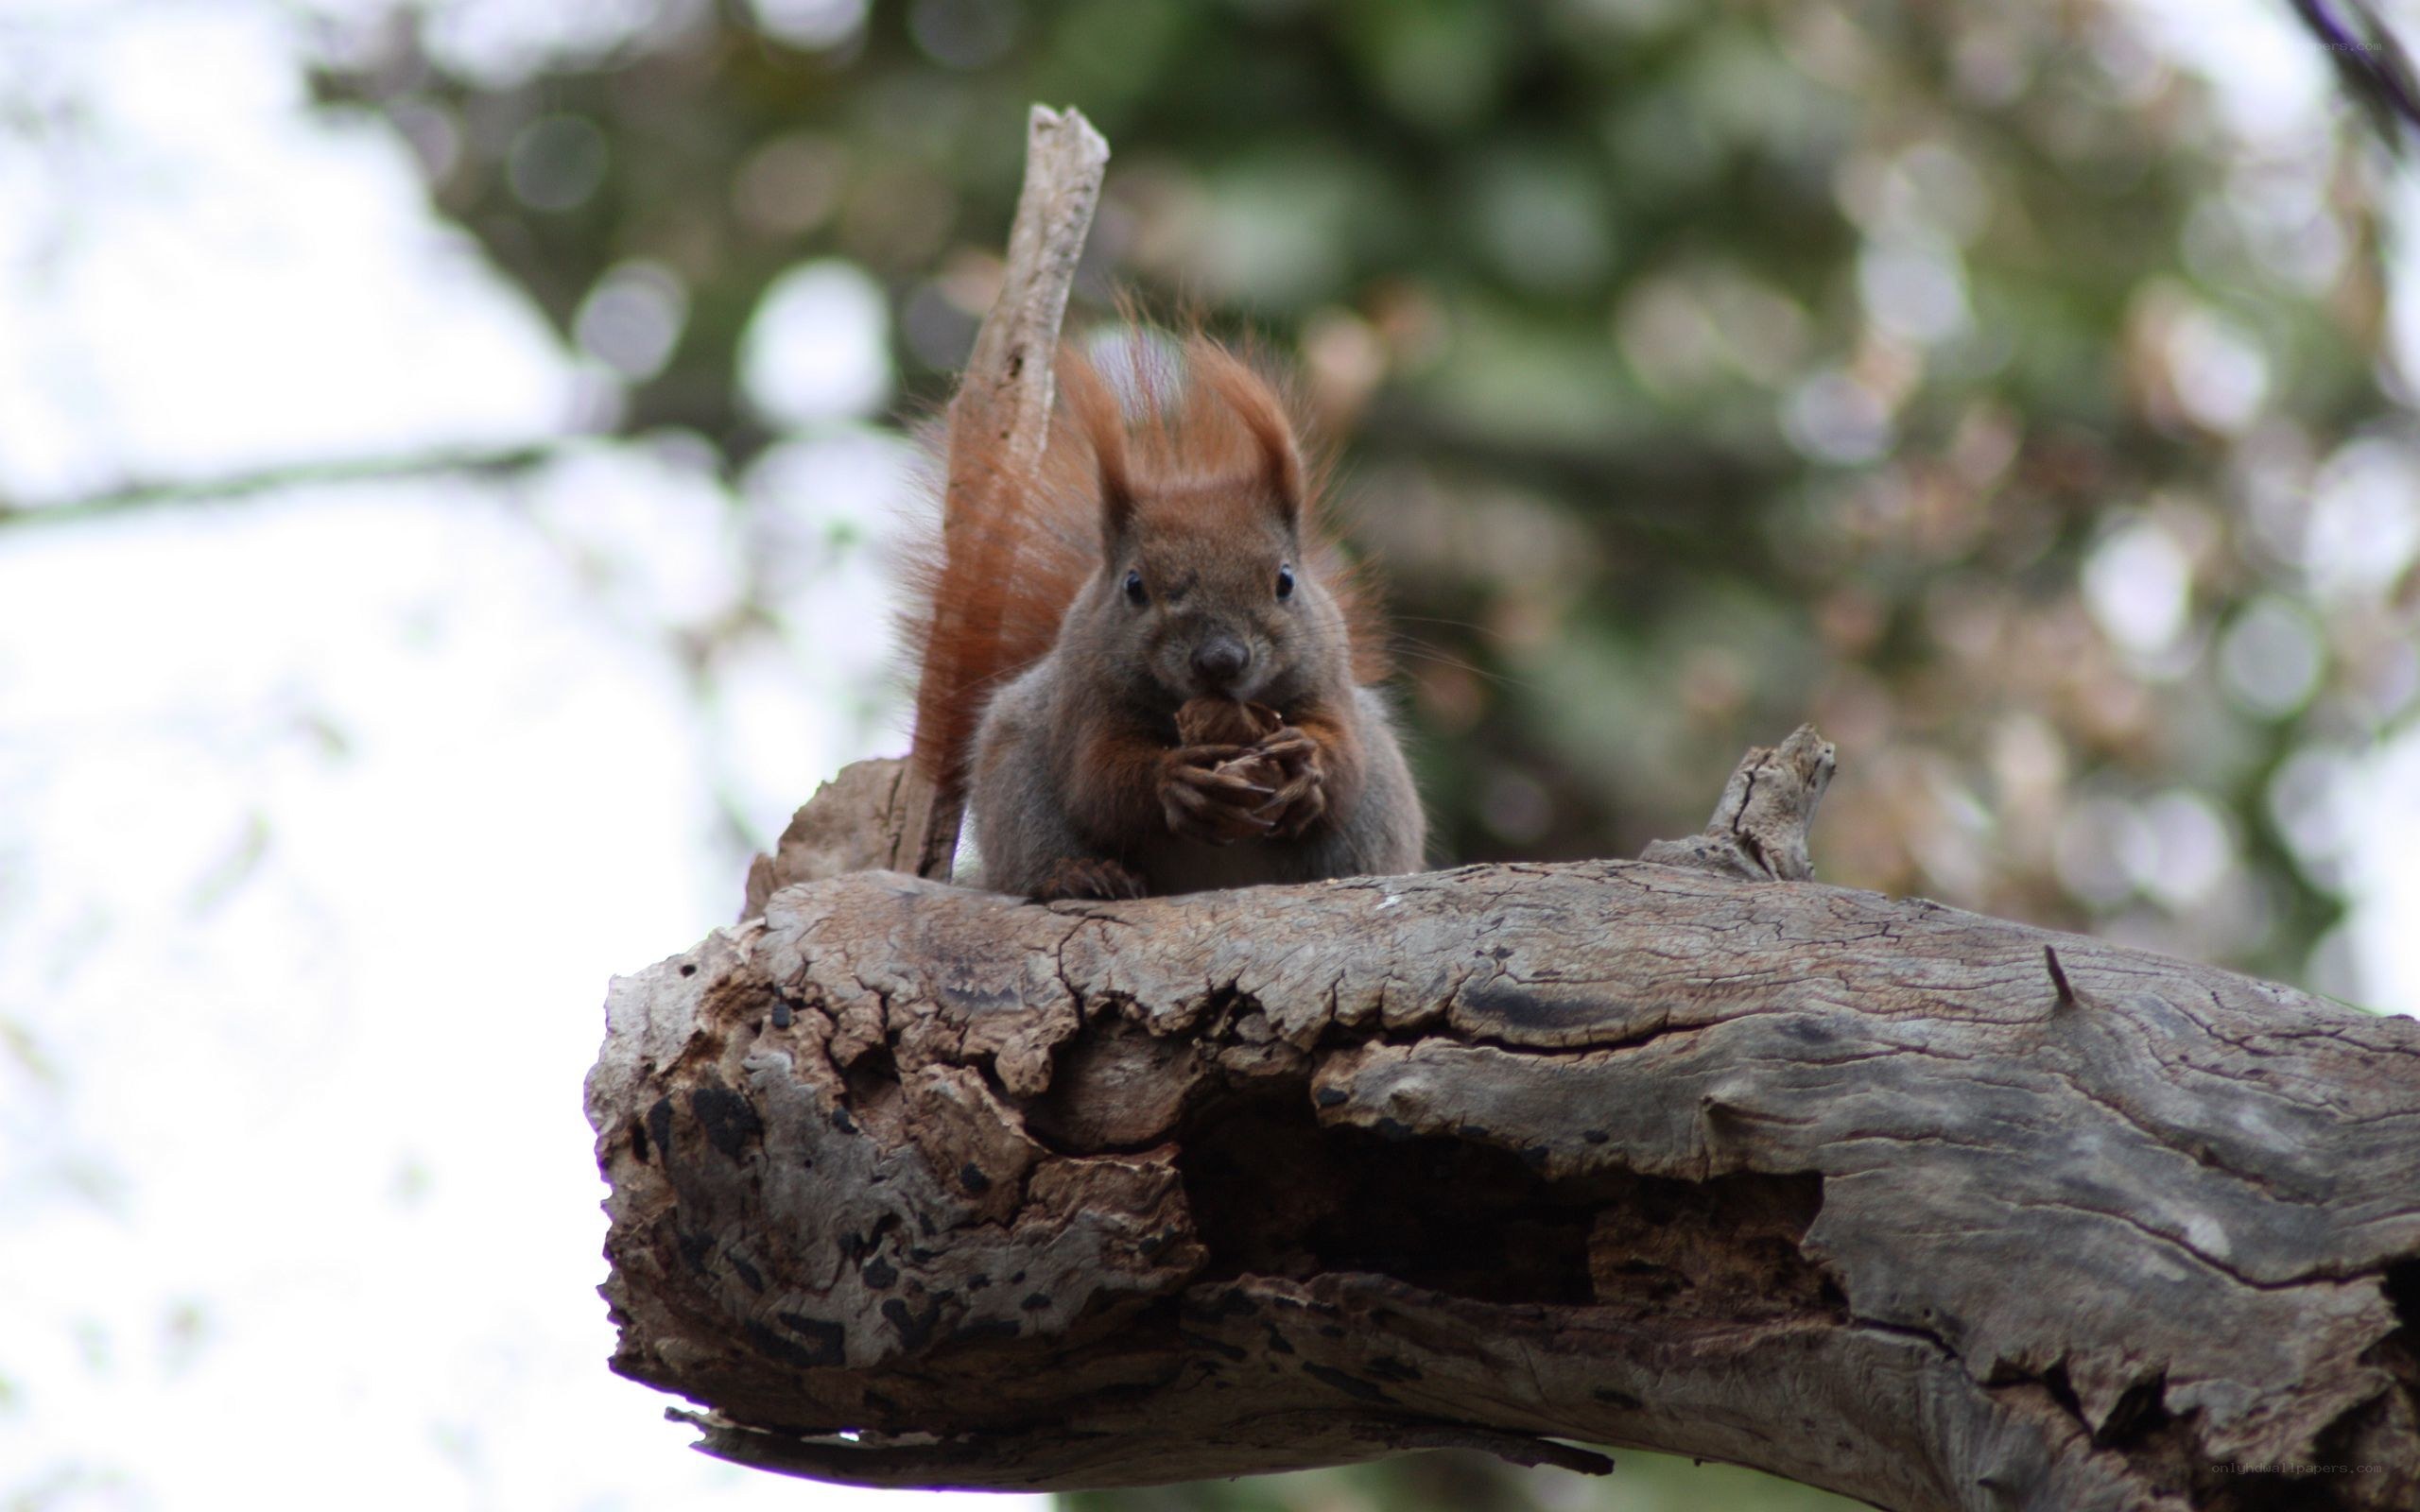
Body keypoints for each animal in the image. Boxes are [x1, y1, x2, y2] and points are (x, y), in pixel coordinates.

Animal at [903, 331, 1424, 901]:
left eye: (1285, 581)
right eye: (1134, 586)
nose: (1221, 659)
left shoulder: (1328, 678)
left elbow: (1345, 762)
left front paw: (1305, 762)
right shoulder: (1087, 696)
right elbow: (1099, 780)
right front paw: (1175, 781)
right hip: (1017, 783)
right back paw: (1082, 875)